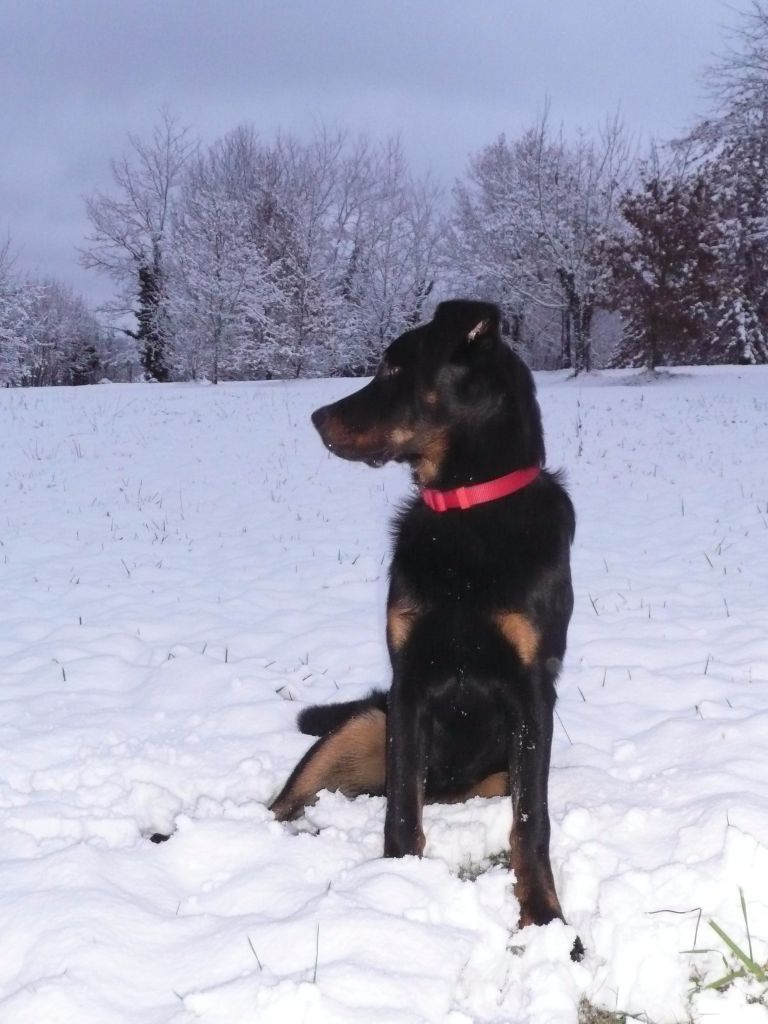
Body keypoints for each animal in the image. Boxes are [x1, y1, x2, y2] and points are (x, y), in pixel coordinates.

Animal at [274, 299, 581, 954]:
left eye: (395, 367)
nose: (316, 417)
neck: (465, 511)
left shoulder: (531, 692)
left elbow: (530, 824)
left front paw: (544, 917)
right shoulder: (409, 680)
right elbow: (401, 815)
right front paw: (395, 891)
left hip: (492, 773)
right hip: (361, 727)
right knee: (287, 803)